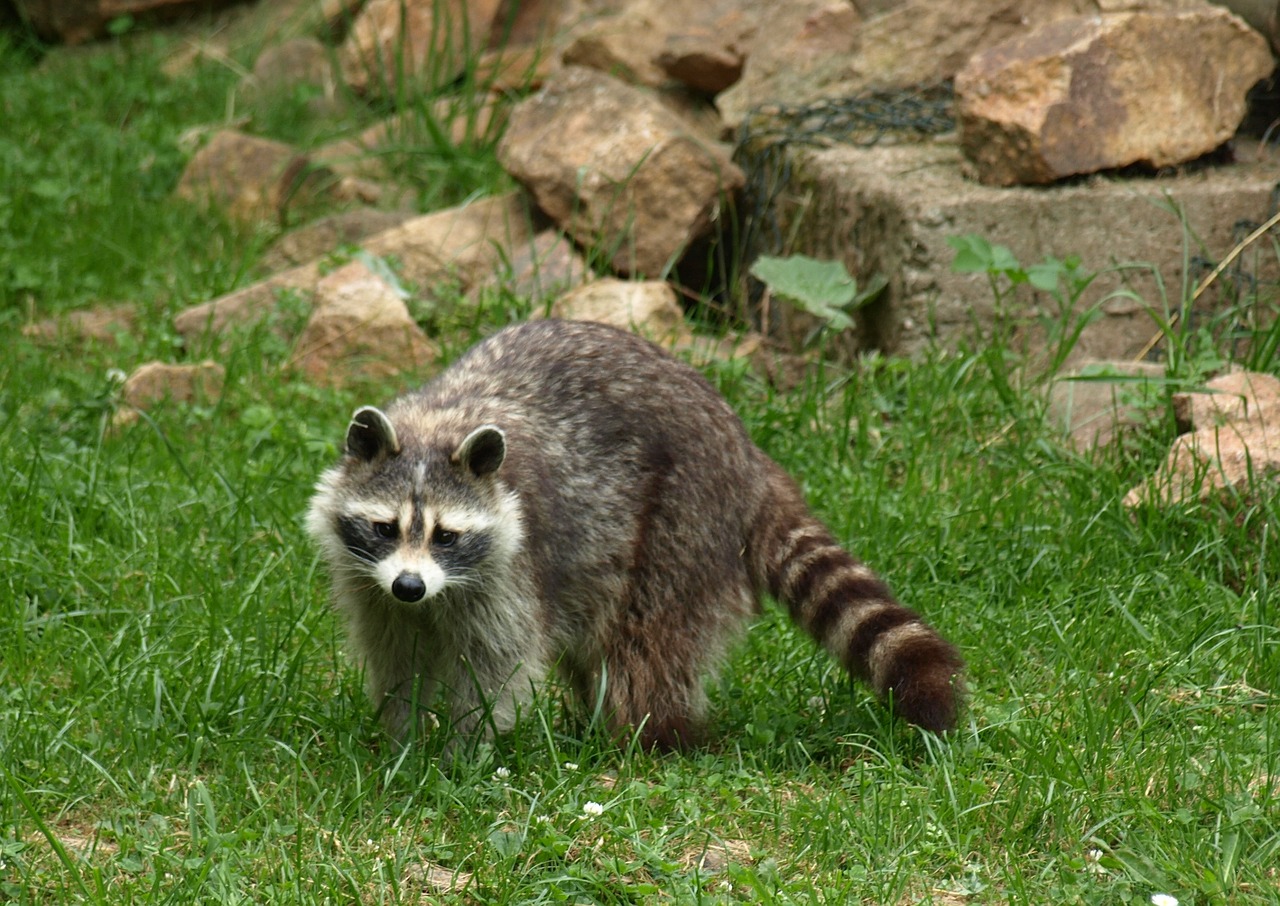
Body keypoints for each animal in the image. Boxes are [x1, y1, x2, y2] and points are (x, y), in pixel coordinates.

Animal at [304, 319, 962, 752]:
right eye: (385, 528)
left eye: (445, 535)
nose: (411, 586)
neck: (437, 421)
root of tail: (747, 455)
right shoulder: (371, 585)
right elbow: (397, 654)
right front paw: (403, 736)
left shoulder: (512, 574)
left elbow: (497, 664)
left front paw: (466, 748)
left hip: (683, 521)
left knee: (647, 646)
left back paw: (650, 737)